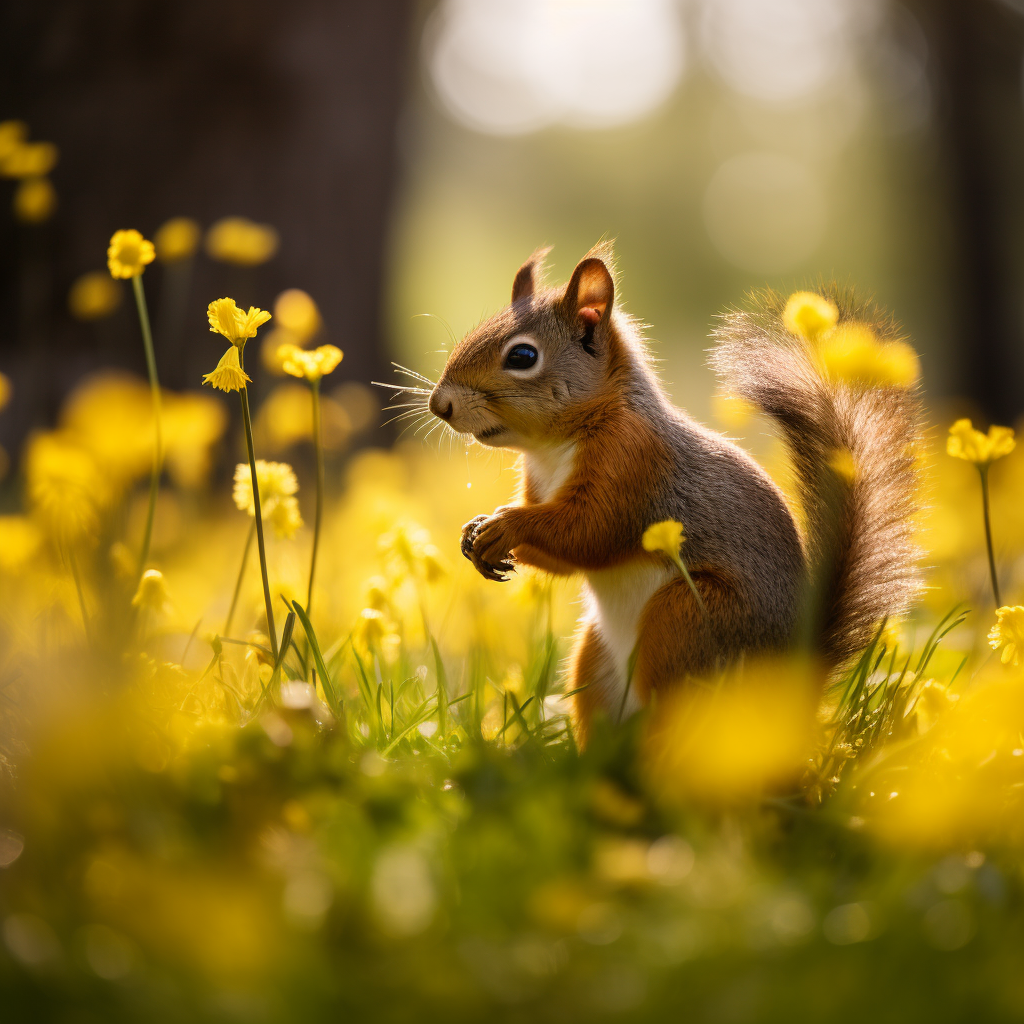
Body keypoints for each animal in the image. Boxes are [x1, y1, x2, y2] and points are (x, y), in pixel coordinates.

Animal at [423, 246, 921, 745]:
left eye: (523, 355)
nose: (439, 405)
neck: (552, 447)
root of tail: (791, 694)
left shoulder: (632, 464)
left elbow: (588, 533)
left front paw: (505, 525)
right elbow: (565, 557)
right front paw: (476, 532)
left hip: (686, 621)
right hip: (595, 658)